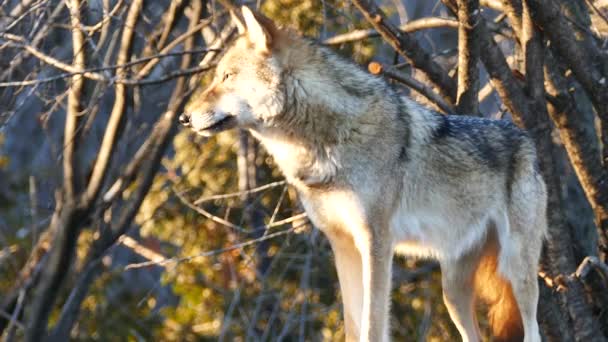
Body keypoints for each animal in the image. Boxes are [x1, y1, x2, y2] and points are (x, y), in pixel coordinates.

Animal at [179, 7, 548, 342]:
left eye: (227, 77)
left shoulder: (376, 241)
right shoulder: (342, 244)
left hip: (516, 271)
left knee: (533, 330)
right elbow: (354, 324)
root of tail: (528, 141)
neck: (324, 142)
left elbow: (372, 323)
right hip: (453, 292)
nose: (184, 117)